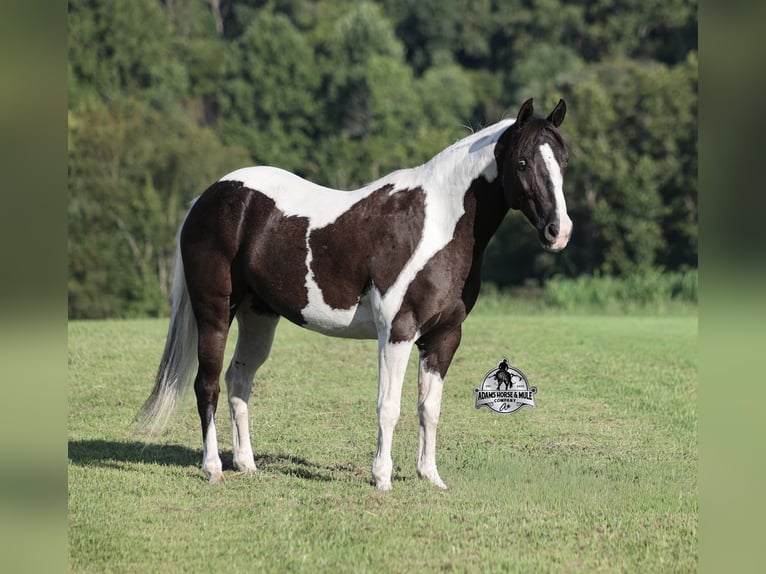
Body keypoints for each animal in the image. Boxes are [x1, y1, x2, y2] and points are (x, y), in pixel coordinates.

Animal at [138, 98, 572, 490]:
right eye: (522, 162)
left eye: (563, 161)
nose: (559, 231)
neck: (436, 225)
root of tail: (209, 196)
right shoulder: (397, 332)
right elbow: (389, 406)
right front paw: (382, 477)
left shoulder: (444, 337)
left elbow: (429, 409)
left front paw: (430, 476)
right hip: (214, 311)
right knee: (207, 384)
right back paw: (213, 468)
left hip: (258, 316)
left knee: (239, 380)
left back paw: (246, 463)